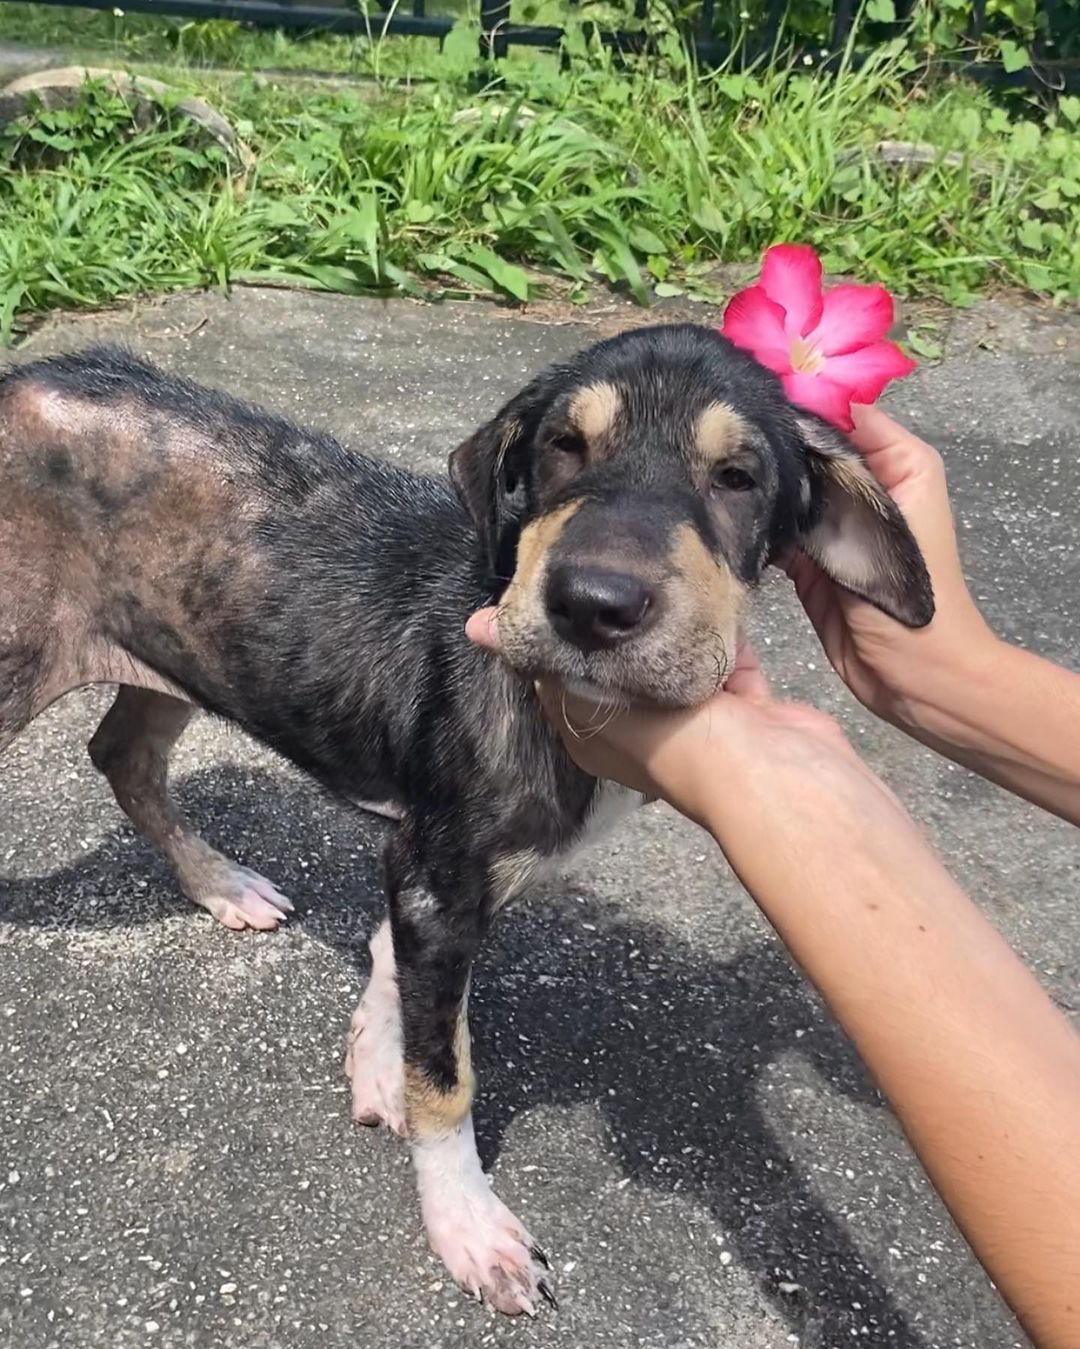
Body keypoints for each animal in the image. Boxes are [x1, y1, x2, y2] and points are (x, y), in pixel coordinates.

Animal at [0, 326, 927, 1316]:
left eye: (738, 477)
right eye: (563, 447)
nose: (592, 604)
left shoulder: (434, 867)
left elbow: (394, 967)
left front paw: (377, 1056)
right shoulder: (438, 876)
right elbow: (448, 1077)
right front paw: (468, 1223)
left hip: (177, 643)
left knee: (124, 757)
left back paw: (222, 885)